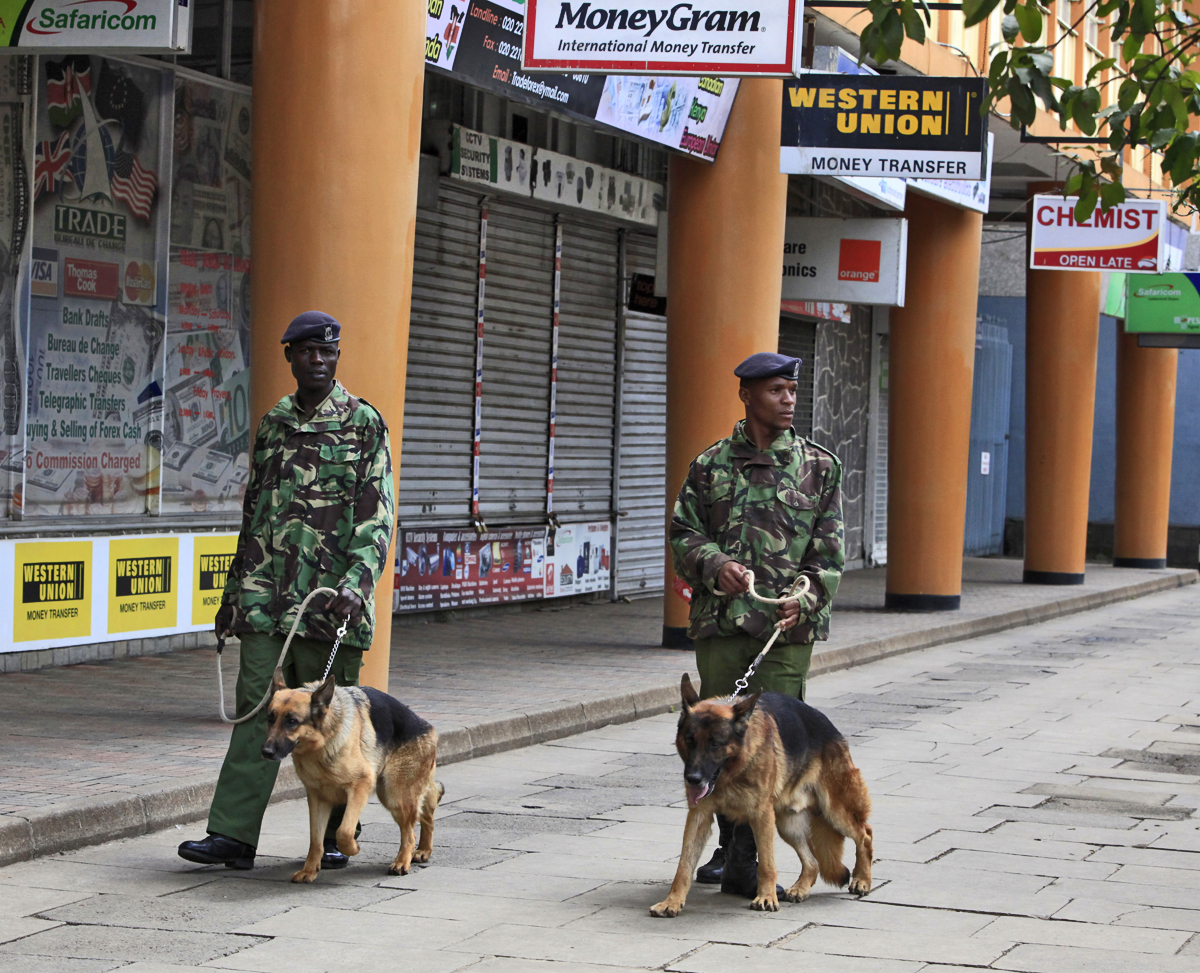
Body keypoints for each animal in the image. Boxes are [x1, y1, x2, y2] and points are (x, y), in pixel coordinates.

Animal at [260, 671, 444, 887]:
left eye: (292, 722)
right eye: (270, 718)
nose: (266, 752)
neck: (322, 743)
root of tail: (427, 725)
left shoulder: (360, 787)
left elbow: (344, 831)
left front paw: (353, 848)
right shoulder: (317, 798)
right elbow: (316, 839)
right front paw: (310, 870)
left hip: (394, 795)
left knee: (410, 832)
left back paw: (402, 862)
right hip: (396, 795)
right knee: (426, 813)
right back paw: (424, 850)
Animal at [652, 671, 868, 916]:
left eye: (715, 743)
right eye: (690, 741)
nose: (692, 779)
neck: (733, 771)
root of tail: (831, 728)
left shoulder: (761, 815)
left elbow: (766, 863)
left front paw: (766, 896)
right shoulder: (699, 816)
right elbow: (684, 865)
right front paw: (672, 901)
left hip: (836, 810)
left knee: (865, 834)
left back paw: (862, 879)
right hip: (787, 824)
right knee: (813, 862)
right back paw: (801, 888)